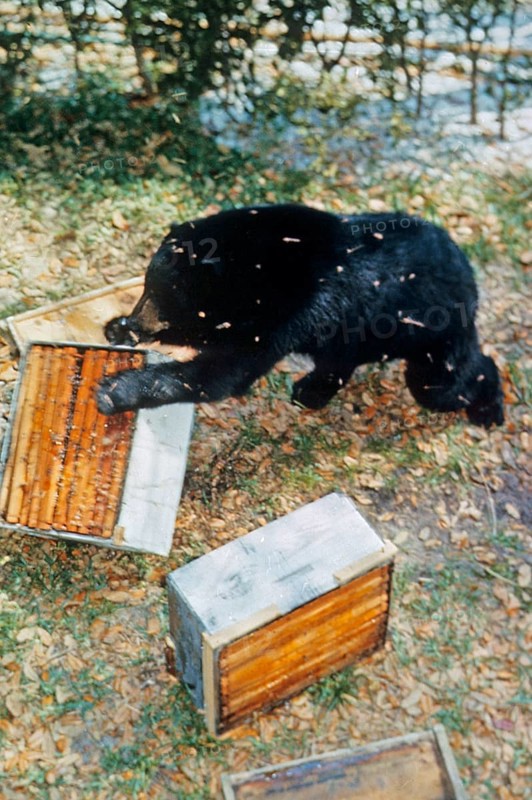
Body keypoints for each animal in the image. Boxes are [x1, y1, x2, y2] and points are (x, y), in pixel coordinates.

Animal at [97, 203, 504, 428]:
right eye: (146, 289)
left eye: (157, 295)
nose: (140, 317)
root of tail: (471, 283)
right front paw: (119, 328)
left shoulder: (291, 308)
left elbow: (223, 373)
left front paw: (114, 391)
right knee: (340, 361)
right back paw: (311, 392)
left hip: (432, 333)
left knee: (444, 382)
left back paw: (490, 409)